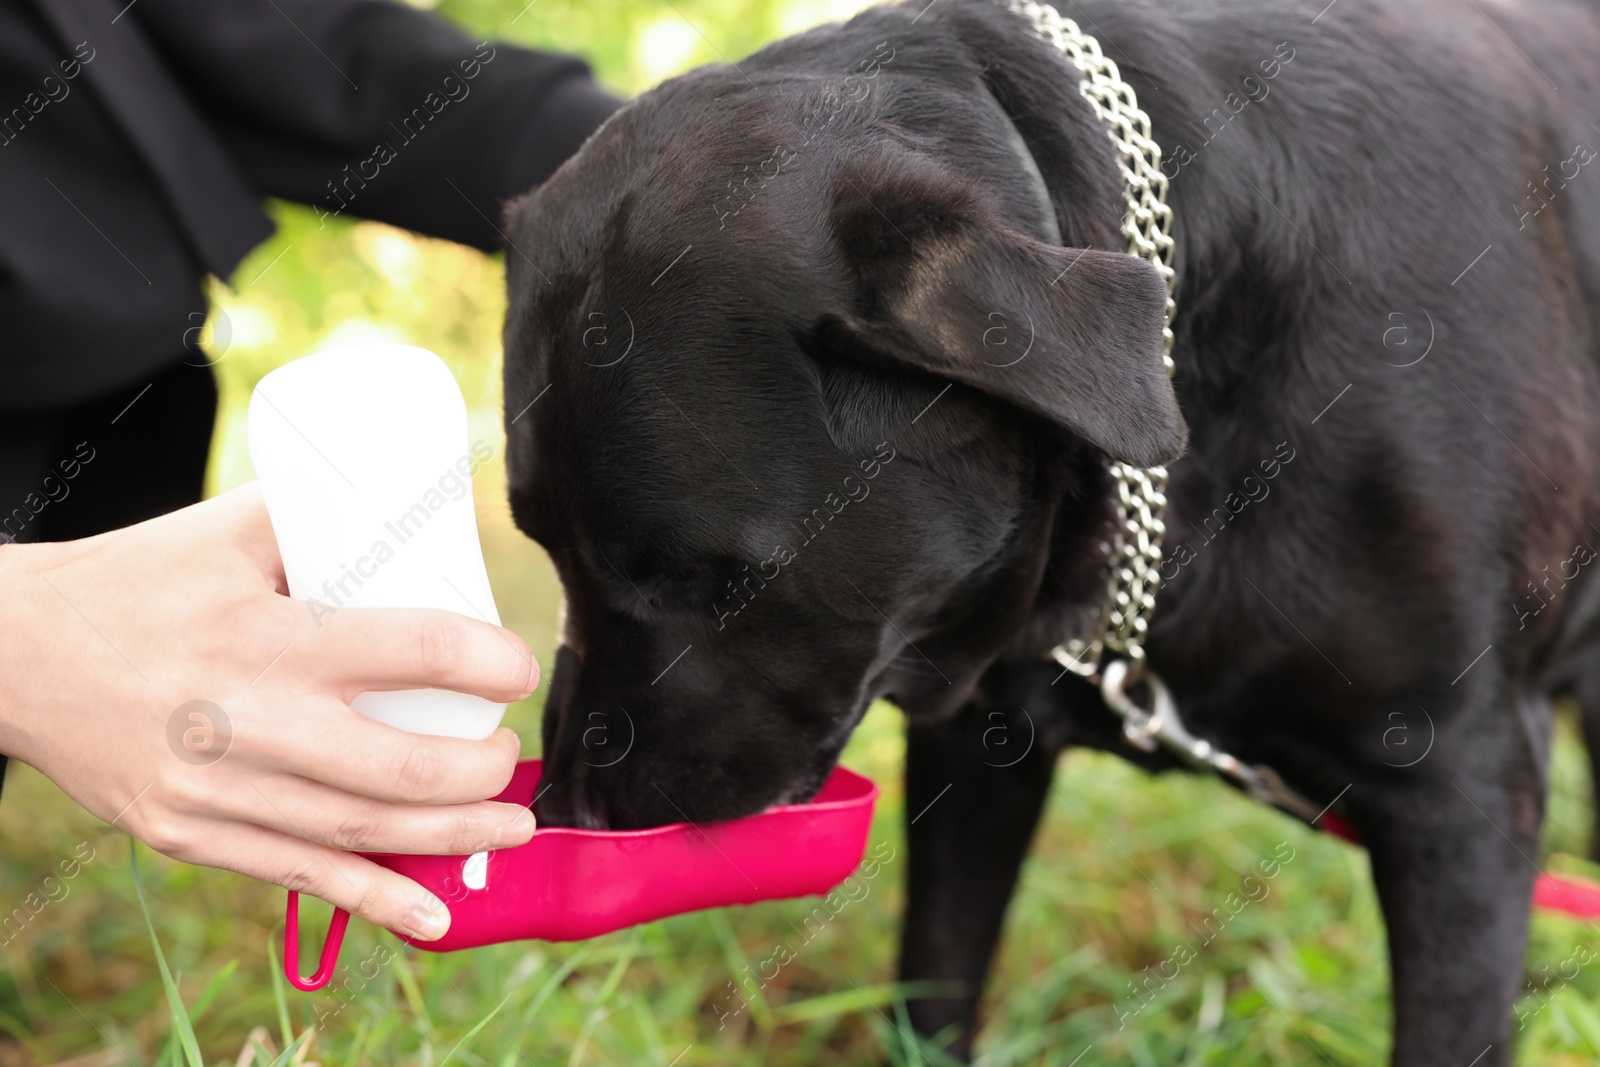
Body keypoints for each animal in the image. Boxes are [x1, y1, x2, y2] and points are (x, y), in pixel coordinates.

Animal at [499, 2, 1600, 1062]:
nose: (571, 810)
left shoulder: (1459, 788)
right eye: (545, 547)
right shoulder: (982, 746)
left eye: (709, 577)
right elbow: (934, 985)